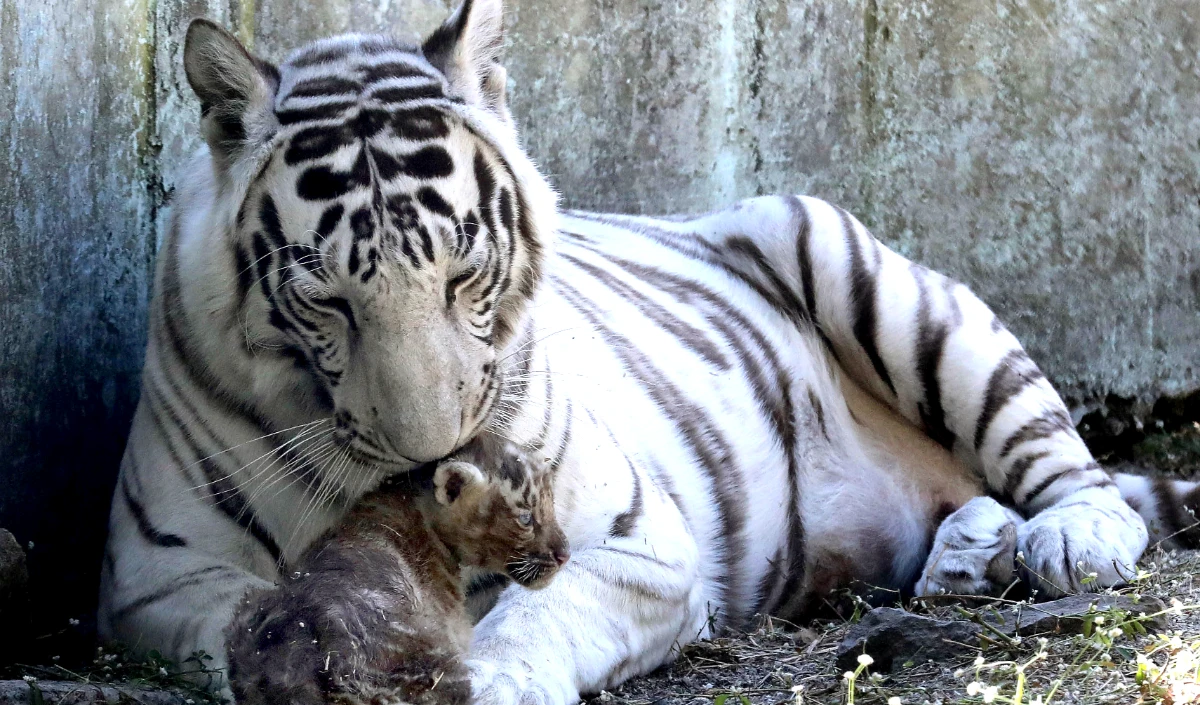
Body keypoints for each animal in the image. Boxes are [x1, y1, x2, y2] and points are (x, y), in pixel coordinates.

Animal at [96, 2, 1200, 700]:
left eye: (463, 274)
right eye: (328, 297)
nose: (429, 455)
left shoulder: (640, 539)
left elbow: (540, 613)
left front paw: (492, 676)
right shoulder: (157, 581)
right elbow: (247, 617)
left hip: (854, 263)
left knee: (1064, 463)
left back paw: (1066, 540)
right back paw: (968, 555)